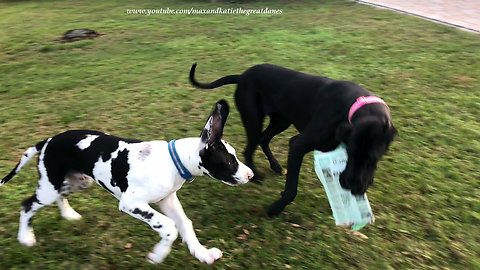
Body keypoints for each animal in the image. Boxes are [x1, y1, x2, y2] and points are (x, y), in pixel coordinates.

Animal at [0, 99, 253, 264]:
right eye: (230, 161)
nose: (250, 175)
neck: (172, 161)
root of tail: (47, 141)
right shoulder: (132, 204)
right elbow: (169, 227)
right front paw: (158, 255)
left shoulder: (168, 200)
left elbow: (185, 225)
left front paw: (202, 253)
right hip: (48, 188)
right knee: (27, 205)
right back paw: (26, 237)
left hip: (77, 182)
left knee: (60, 196)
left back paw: (69, 215)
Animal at [189, 62, 396, 216]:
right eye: (350, 152)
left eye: (374, 158)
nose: (353, 188)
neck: (355, 106)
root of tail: (242, 76)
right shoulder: (298, 145)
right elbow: (291, 190)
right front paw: (275, 208)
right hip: (254, 121)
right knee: (250, 147)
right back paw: (257, 177)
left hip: (281, 121)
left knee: (264, 140)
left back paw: (275, 166)